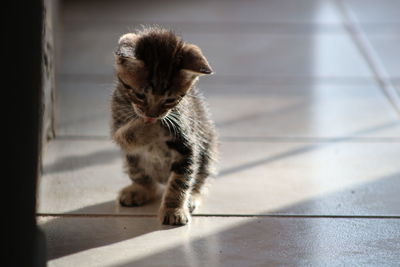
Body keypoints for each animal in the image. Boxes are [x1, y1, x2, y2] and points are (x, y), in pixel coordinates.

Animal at [111, 27, 217, 225]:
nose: (152, 115)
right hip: (132, 161)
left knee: (198, 178)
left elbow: (180, 180)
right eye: (140, 95)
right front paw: (150, 128)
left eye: (170, 100)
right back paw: (138, 190)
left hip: (207, 151)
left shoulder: (188, 146)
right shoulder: (117, 124)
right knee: (143, 178)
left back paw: (192, 198)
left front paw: (174, 210)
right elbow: (124, 136)